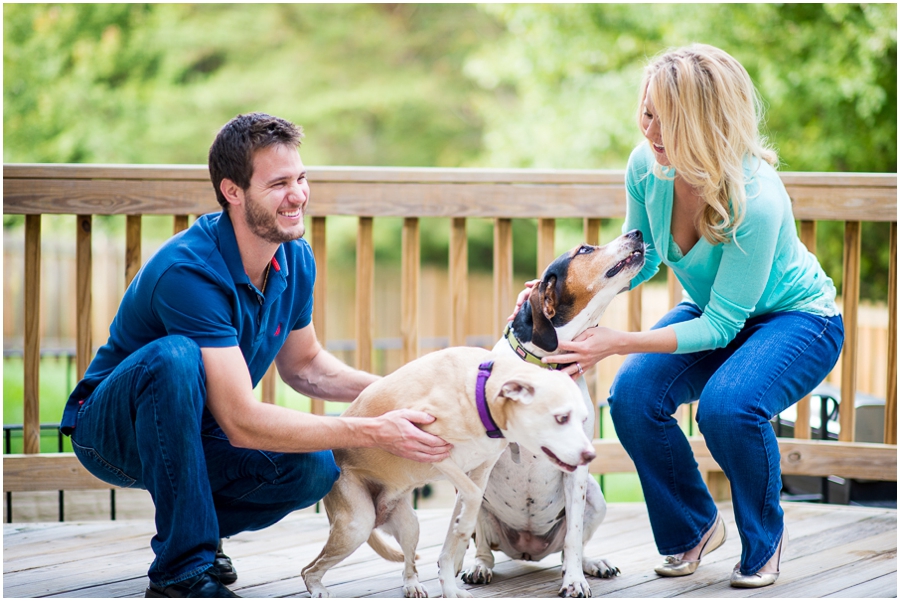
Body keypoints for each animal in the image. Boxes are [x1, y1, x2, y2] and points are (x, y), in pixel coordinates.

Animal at [298, 346, 600, 596]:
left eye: (583, 419)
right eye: (561, 418)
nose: (590, 455)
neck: (478, 393)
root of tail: (377, 515)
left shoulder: (477, 471)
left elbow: (452, 540)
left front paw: (451, 586)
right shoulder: (434, 451)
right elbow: (473, 498)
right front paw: (465, 528)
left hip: (410, 525)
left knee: (408, 565)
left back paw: (413, 585)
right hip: (356, 526)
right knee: (309, 569)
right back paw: (318, 590)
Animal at [460, 229, 644, 596]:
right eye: (584, 249)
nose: (637, 232)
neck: (546, 368)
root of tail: (526, 548)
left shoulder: (577, 470)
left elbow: (573, 538)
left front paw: (574, 581)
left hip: (596, 497)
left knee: (572, 545)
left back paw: (591, 564)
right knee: (483, 545)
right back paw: (478, 566)